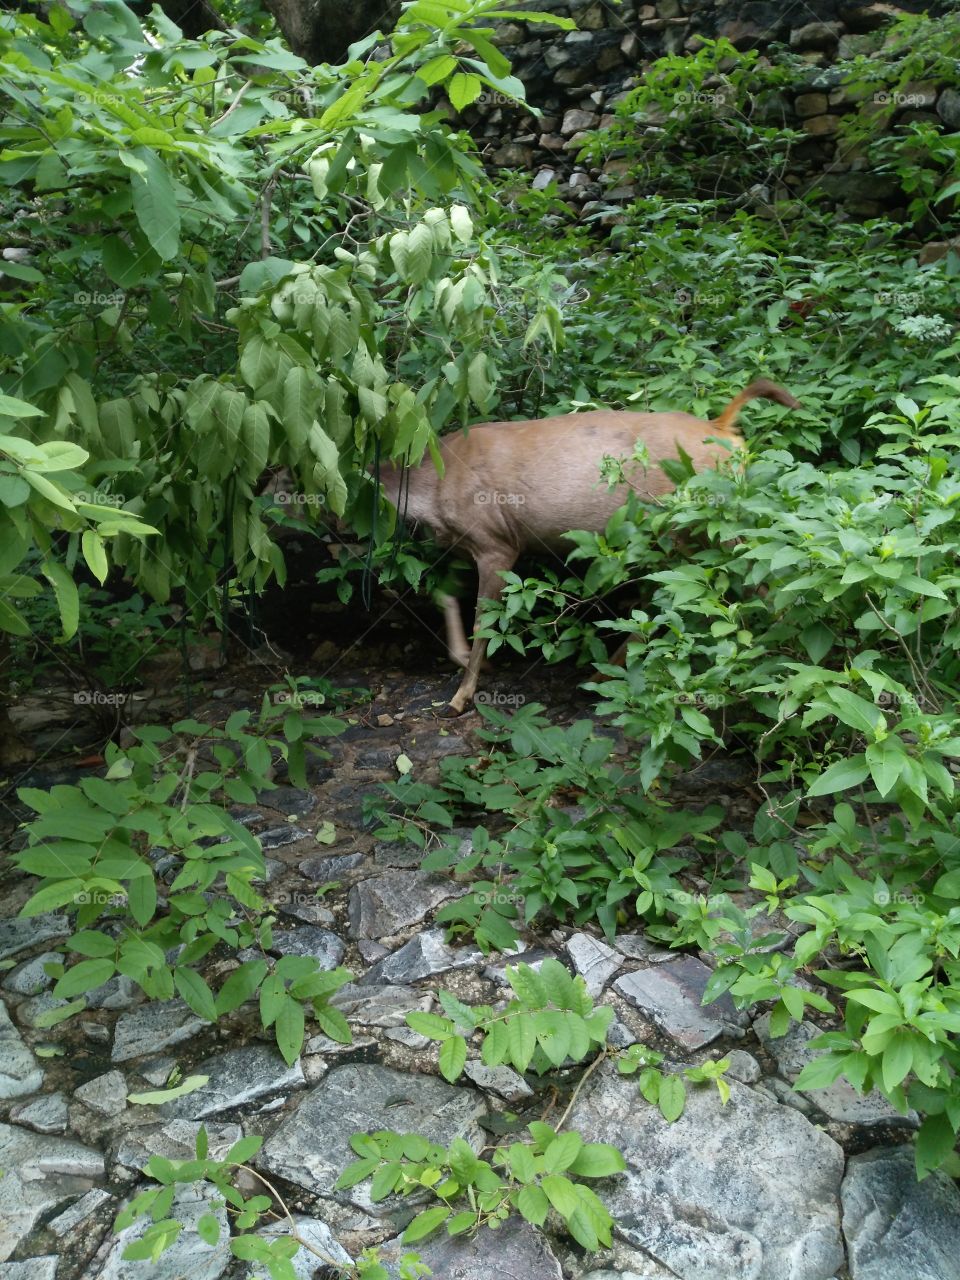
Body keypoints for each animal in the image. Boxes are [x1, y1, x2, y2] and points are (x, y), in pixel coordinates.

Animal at [376, 379, 800, 713]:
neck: (432, 492)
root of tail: (725, 430)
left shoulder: (496, 541)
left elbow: (486, 622)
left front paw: (461, 696)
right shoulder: (466, 545)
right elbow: (444, 595)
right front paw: (463, 661)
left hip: (694, 523)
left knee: (754, 582)